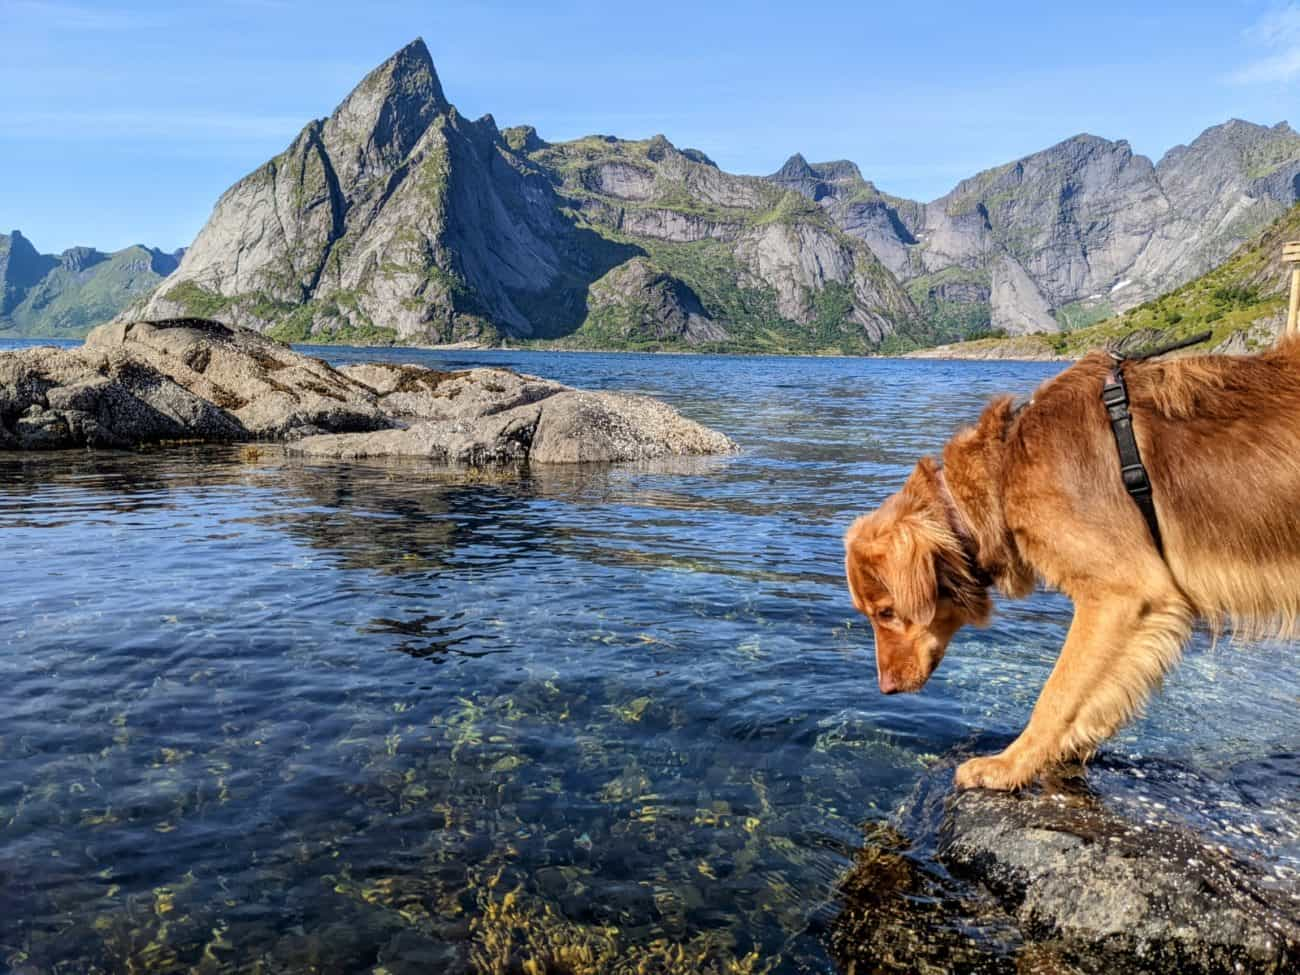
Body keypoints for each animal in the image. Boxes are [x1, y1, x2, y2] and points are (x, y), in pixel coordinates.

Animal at [842, 338, 1300, 795]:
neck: (1004, 472)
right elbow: (1097, 700)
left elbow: (1058, 695)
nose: (885, 688)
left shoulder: (1123, 596)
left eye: (886, 612)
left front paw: (1009, 765)